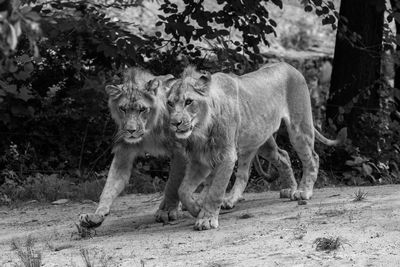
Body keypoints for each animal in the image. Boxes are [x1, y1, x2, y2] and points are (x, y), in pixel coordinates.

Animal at [79, 68, 186, 229]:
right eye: (123, 109)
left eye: (142, 110)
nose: (130, 131)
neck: (150, 131)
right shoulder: (124, 151)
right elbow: (110, 186)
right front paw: (96, 215)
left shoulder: (181, 151)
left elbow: (172, 184)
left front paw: (167, 211)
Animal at [166, 62, 346, 230]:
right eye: (169, 103)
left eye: (189, 101)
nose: (175, 123)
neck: (201, 129)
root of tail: (289, 66)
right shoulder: (199, 160)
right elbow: (183, 190)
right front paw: (197, 209)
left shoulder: (227, 156)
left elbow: (215, 190)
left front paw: (207, 219)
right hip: (259, 140)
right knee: (278, 158)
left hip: (299, 128)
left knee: (312, 158)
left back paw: (303, 191)